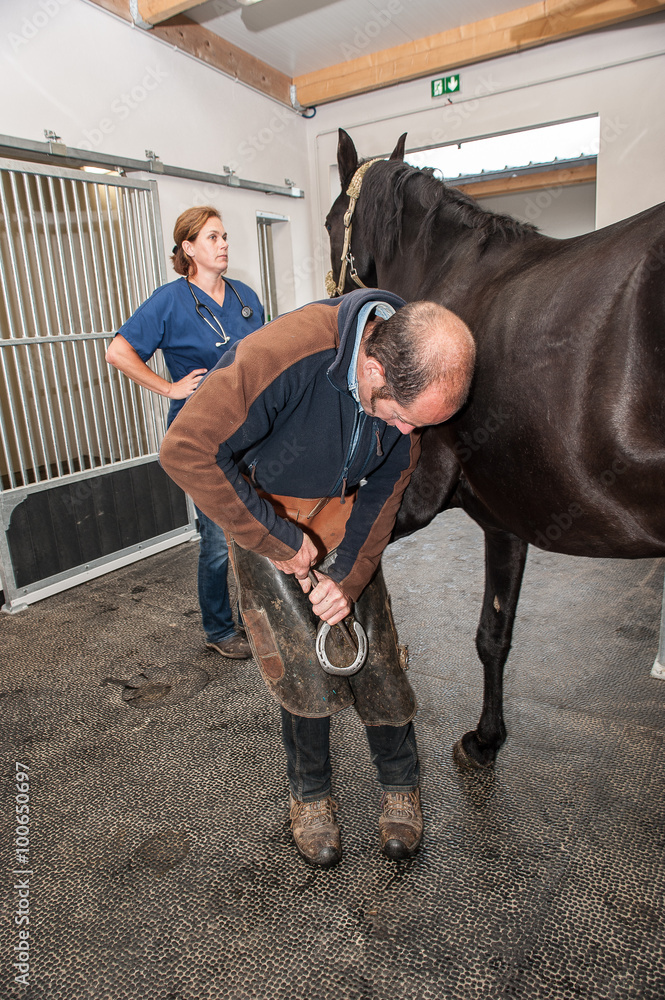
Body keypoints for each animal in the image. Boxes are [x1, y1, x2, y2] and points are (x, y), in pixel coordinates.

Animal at [325, 128, 665, 770]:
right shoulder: (507, 522)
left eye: (333, 222)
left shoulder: (409, 503)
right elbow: (494, 635)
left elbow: (349, 571)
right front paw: (488, 737)